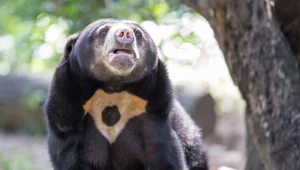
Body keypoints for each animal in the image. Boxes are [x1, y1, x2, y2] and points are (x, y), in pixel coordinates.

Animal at [45, 18, 209, 170]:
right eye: (103, 32)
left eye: (138, 33)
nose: (125, 34)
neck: (113, 88)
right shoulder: (68, 115)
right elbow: (72, 159)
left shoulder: (153, 111)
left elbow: (164, 157)